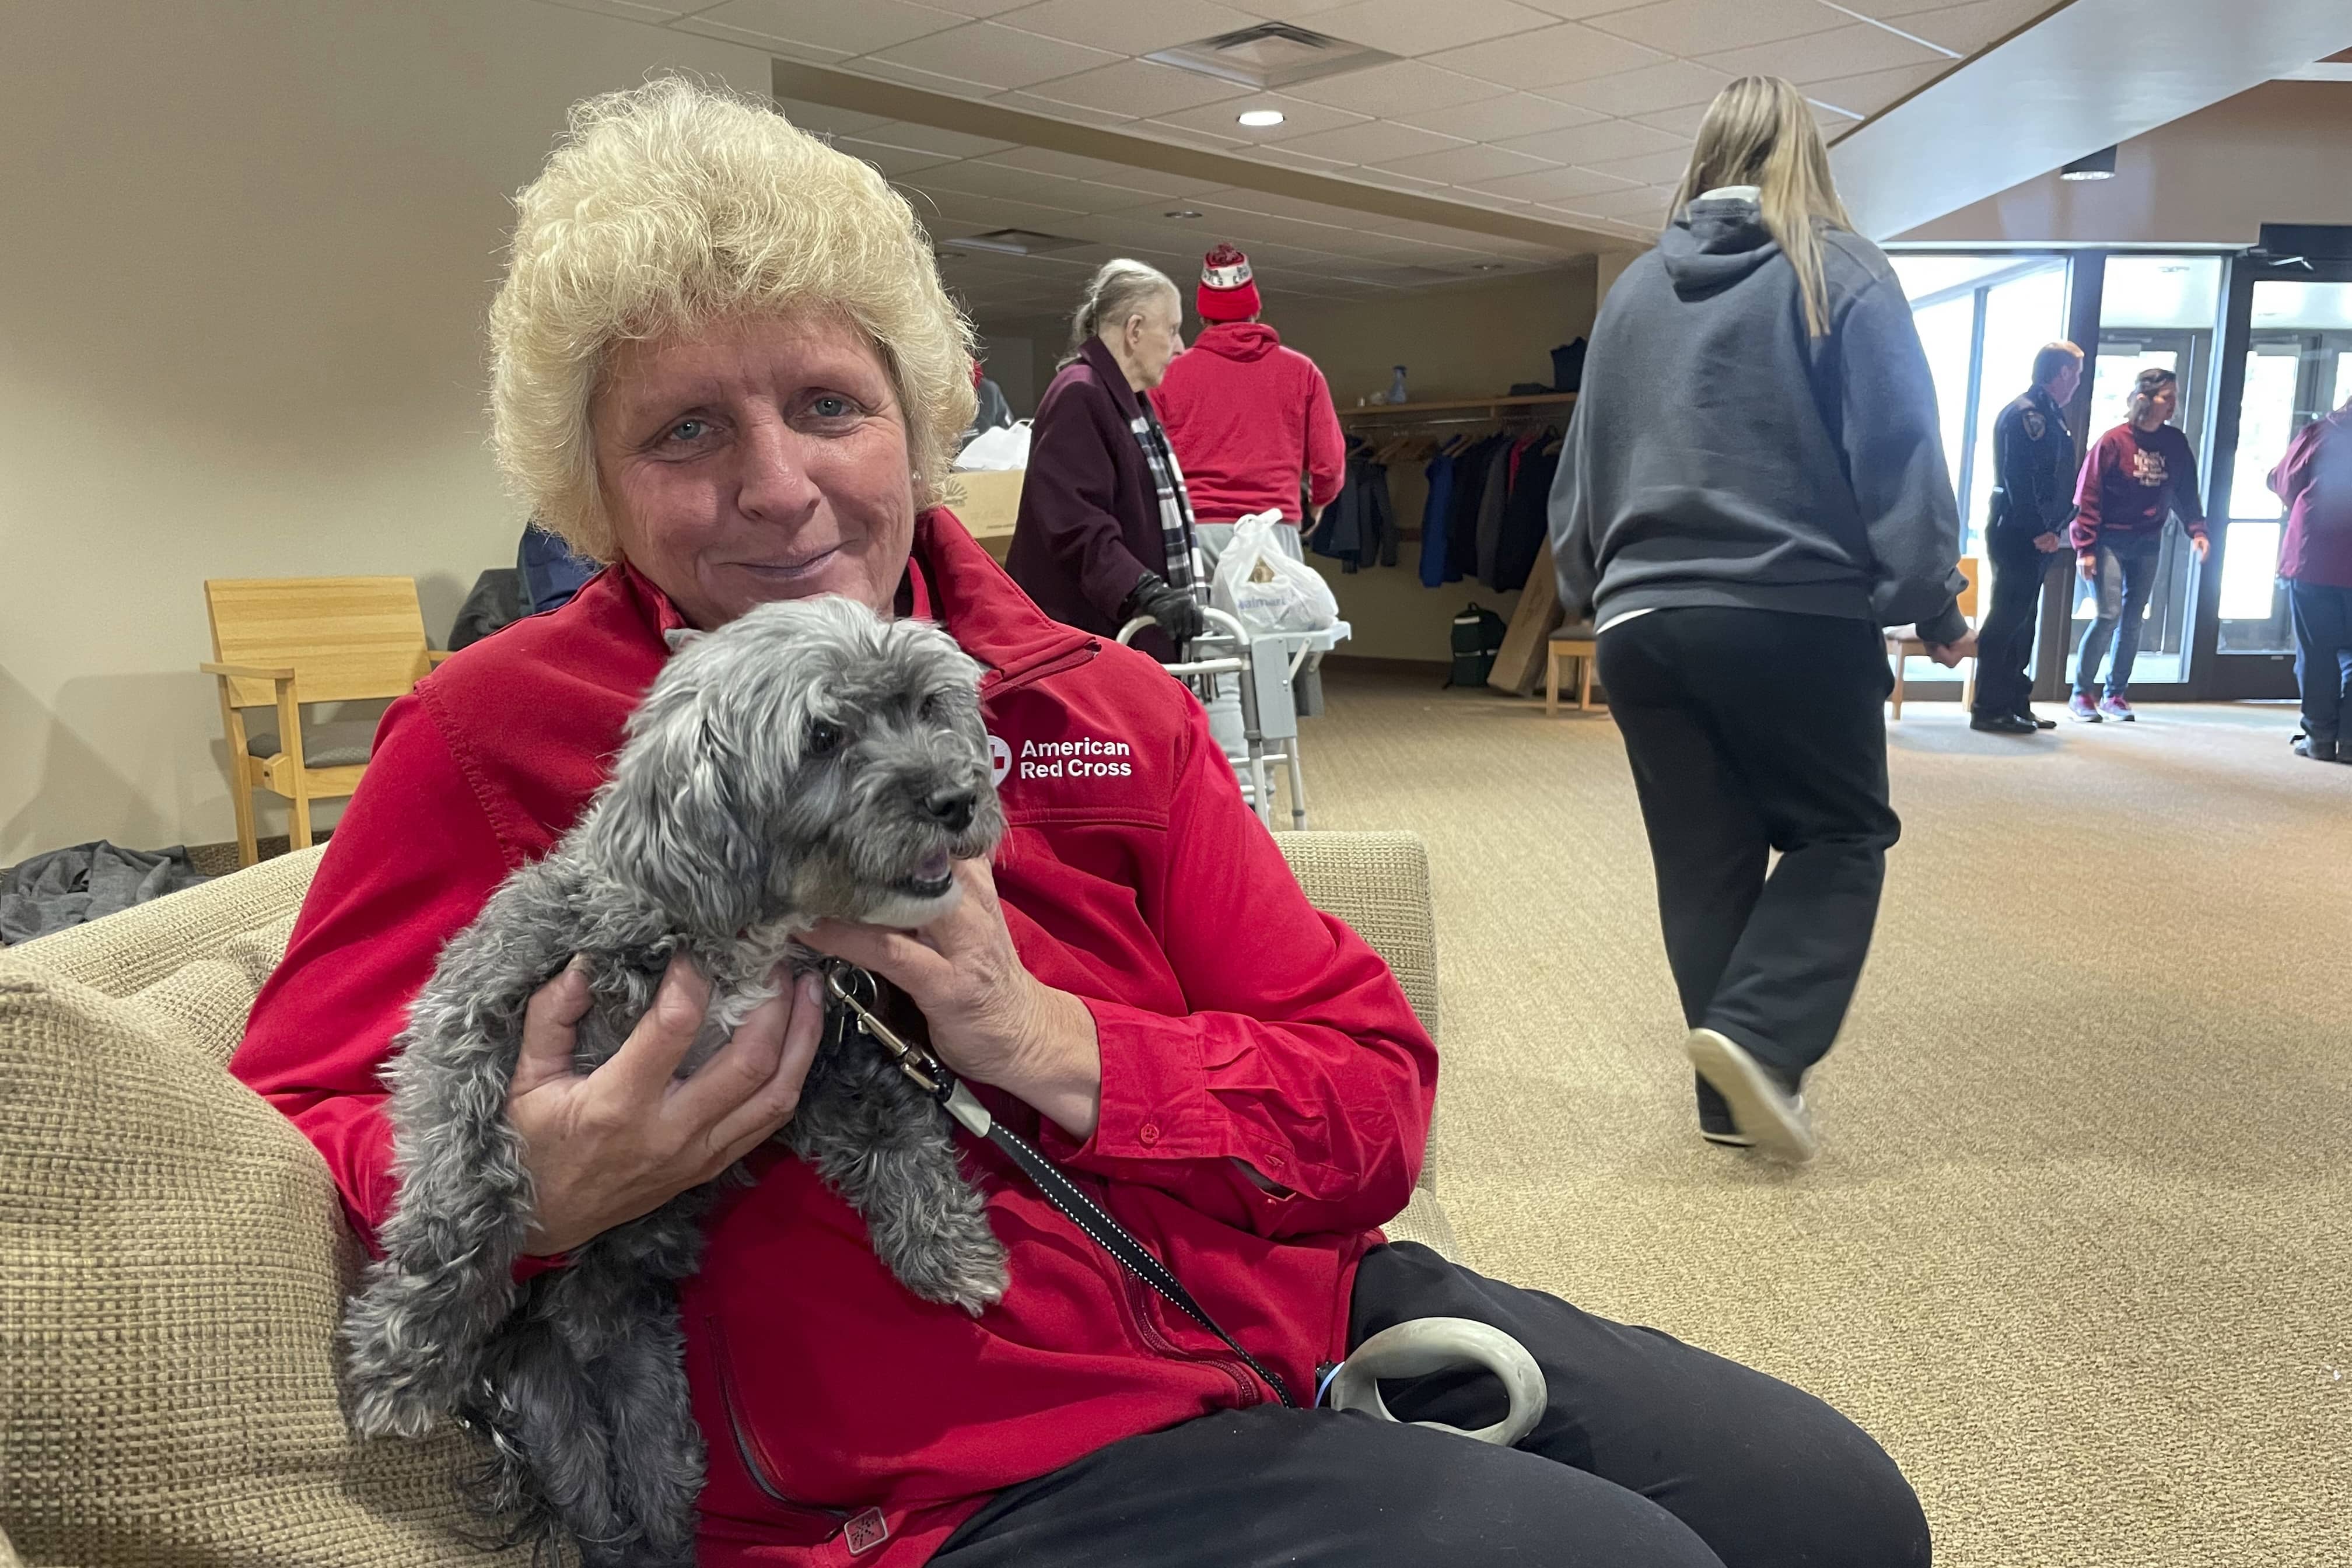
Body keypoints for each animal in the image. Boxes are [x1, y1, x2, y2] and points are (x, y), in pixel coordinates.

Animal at [343, 592, 1011, 1568]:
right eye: (821, 735)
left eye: (928, 706)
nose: (958, 798)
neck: (734, 933)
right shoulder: (470, 1014)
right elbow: (469, 1182)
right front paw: (409, 1352)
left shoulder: (825, 1054)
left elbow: (896, 1140)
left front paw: (950, 1250)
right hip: (556, 1416)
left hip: (651, 1403)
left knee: (650, 1498)